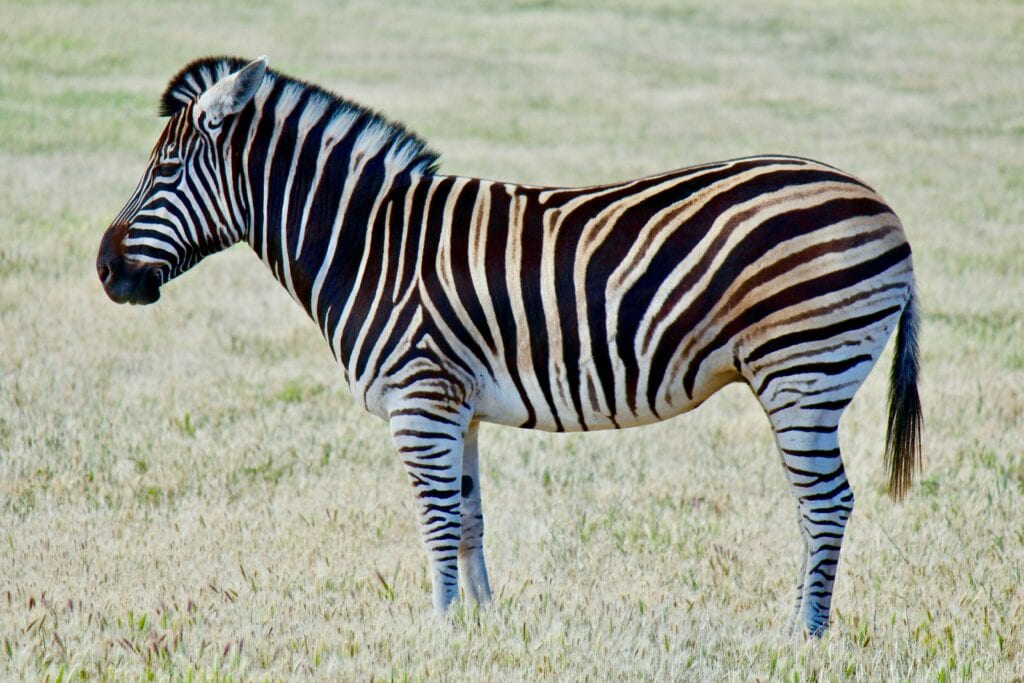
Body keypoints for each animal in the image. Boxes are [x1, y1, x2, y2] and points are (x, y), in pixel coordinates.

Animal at [99, 56, 925, 638]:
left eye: (163, 168)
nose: (106, 271)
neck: (369, 244)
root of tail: (884, 208)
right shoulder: (454, 405)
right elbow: (468, 517)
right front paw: (483, 624)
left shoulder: (419, 400)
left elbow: (434, 517)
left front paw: (436, 629)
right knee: (822, 503)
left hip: (803, 372)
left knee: (825, 502)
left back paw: (804, 633)